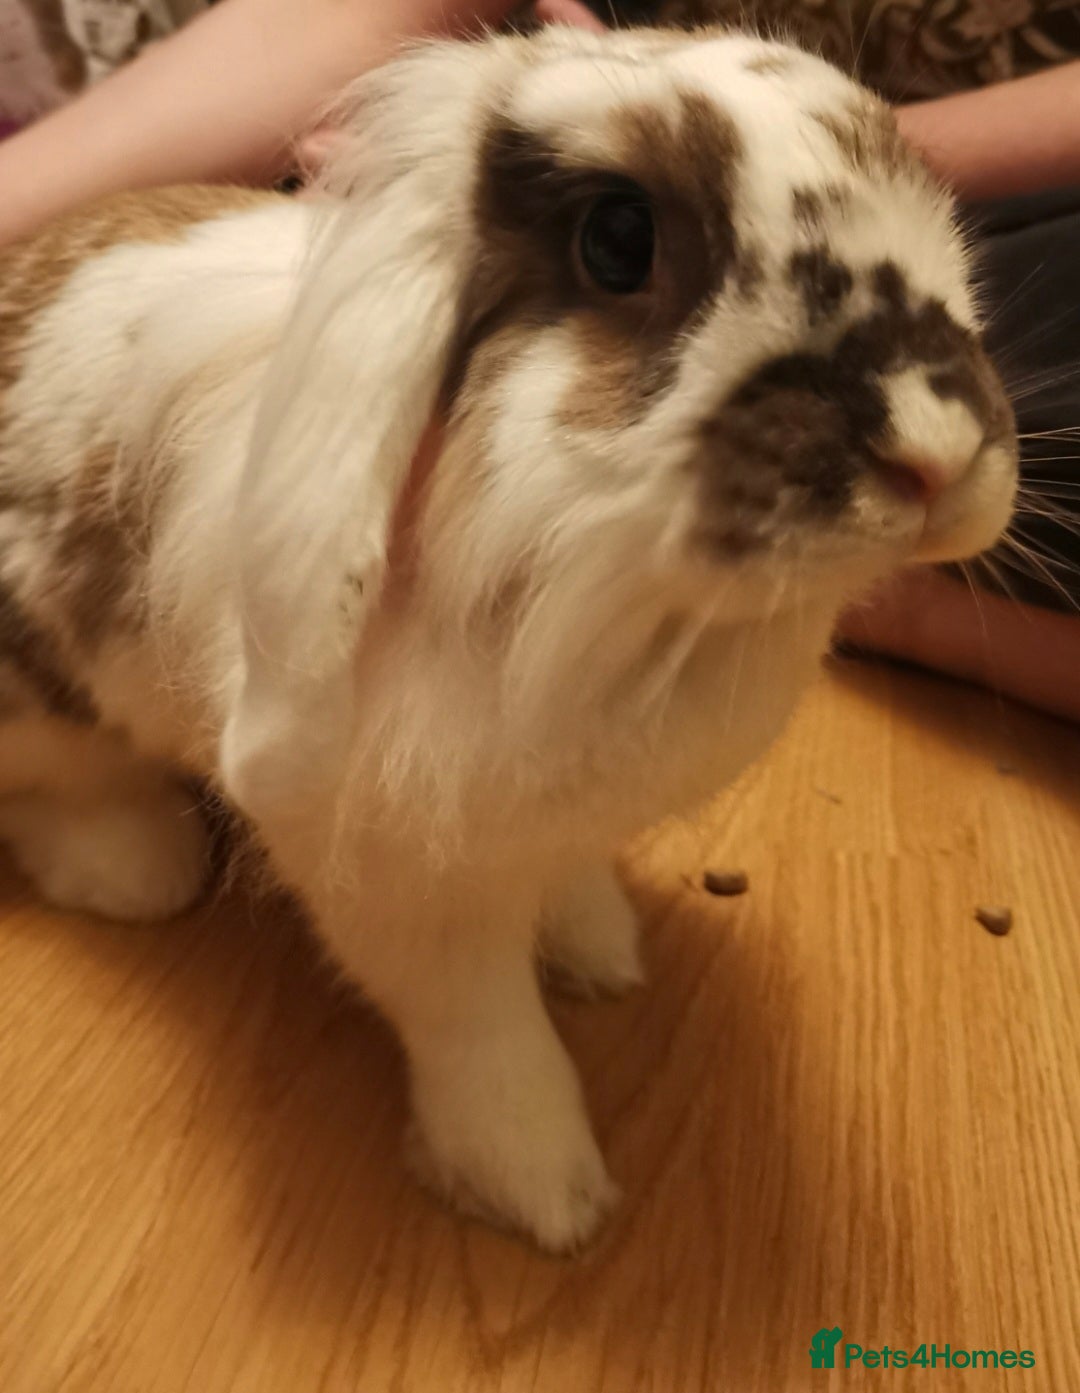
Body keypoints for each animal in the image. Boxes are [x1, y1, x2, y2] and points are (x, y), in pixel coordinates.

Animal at [0, 24, 1017, 1251]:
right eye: (618, 241)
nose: (938, 452)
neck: (608, 604)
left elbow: (566, 882)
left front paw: (599, 951)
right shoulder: (401, 884)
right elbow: (483, 1032)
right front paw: (544, 1192)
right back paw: (133, 866)